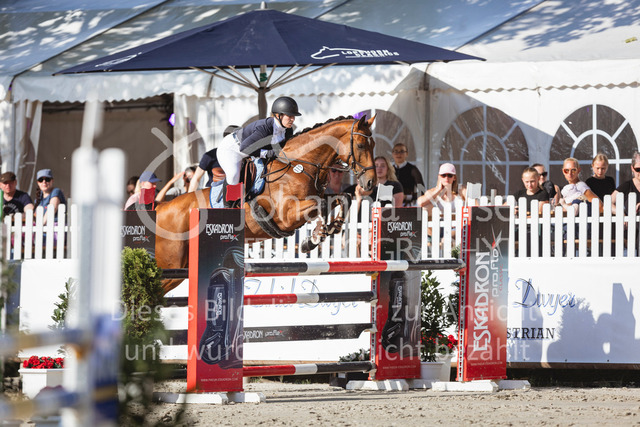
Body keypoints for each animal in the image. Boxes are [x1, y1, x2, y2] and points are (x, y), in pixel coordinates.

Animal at [155, 115, 377, 293]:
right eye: (360, 145)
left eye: (373, 145)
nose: (371, 183)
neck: (299, 166)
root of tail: (161, 208)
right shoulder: (287, 215)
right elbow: (321, 206)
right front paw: (315, 237)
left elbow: (342, 198)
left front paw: (329, 229)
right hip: (171, 265)